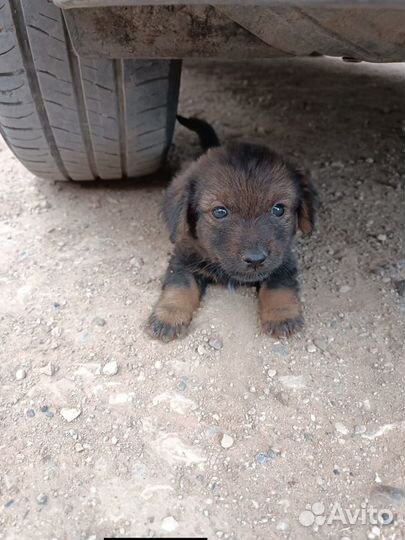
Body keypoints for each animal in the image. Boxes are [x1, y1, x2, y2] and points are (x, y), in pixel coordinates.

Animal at [147, 116, 318, 342]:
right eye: (220, 211)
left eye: (279, 209)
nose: (255, 259)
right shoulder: (182, 257)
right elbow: (180, 286)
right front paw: (169, 315)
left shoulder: (283, 259)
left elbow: (278, 285)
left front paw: (282, 315)